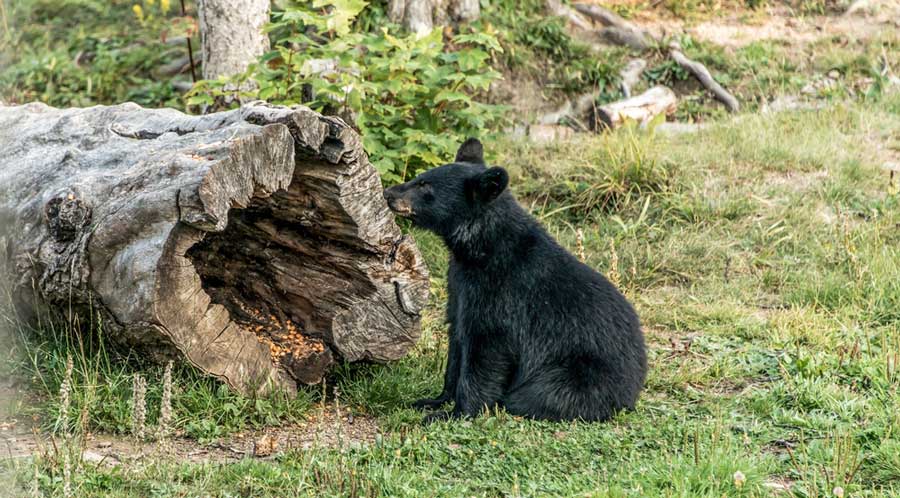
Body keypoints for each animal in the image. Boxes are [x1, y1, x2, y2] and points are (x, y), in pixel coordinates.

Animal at [383, 138, 647, 423]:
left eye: (425, 186)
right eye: (420, 178)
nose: (388, 193)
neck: (482, 248)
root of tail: (633, 392)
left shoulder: (502, 291)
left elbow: (486, 348)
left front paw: (456, 413)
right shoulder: (460, 284)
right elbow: (457, 337)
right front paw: (434, 400)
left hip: (578, 377)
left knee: (538, 394)